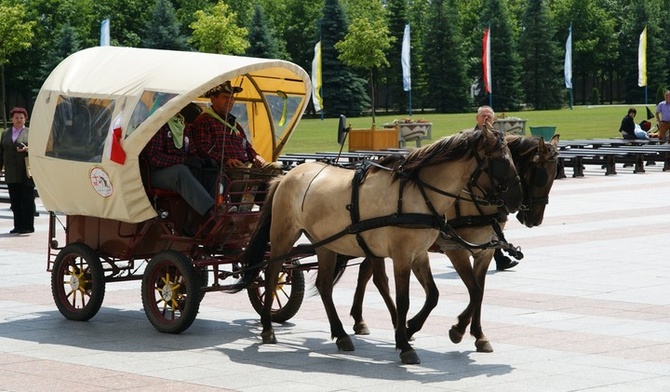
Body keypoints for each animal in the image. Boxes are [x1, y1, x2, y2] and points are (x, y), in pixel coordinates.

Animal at [232, 126, 524, 364]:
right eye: (501, 160)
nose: (516, 200)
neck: (417, 194)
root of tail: (287, 175)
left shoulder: (419, 254)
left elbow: (433, 295)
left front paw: (410, 328)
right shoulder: (403, 255)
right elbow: (404, 299)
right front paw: (405, 342)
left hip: (325, 244)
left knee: (324, 286)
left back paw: (341, 335)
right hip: (284, 235)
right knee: (271, 275)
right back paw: (268, 327)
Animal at [350, 134, 564, 352]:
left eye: (554, 175)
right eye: (540, 175)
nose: (534, 219)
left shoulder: (484, 252)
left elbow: (479, 291)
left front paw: (478, 335)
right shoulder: (456, 249)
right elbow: (474, 291)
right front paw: (457, 329)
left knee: (366, 273)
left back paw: (361, 320)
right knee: (379, 280)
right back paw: (392, 324)